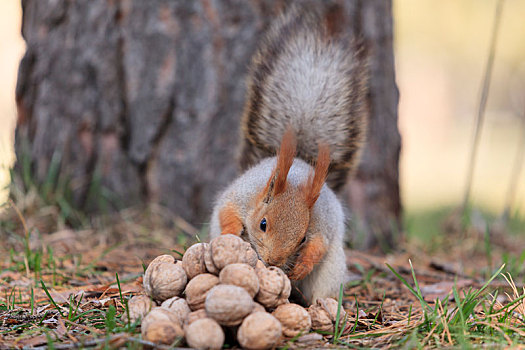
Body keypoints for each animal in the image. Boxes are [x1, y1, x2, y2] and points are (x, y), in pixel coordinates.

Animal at [207, 4, 366, 304]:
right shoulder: (241, 194)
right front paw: (231, 233)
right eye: (263, 224)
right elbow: (227, 211)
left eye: (301, 238)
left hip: (331, 270)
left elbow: (319, 245)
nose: (273, 262)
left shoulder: (323, 222)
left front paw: (302, 265)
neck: (295, 178)